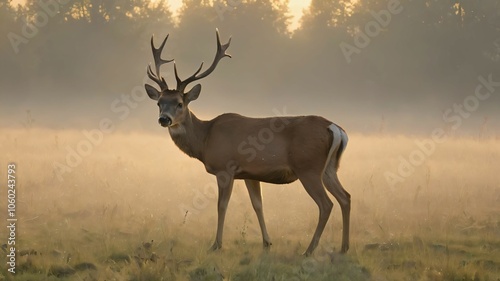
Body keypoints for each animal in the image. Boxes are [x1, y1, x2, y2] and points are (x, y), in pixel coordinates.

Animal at [143, 29, 350, 255]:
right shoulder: (251, 174)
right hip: (329, 168)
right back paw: (343, 248)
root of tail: (335, 128)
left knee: (326, 204)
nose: (164, 119)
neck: (205, 139)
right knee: (345, 197)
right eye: (159, 103)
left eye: (180, 103)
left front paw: (216, 244)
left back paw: (309, 250)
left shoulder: (225, 168)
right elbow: (258, 205)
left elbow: (222, 205)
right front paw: (267, 243)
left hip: (308, 167)